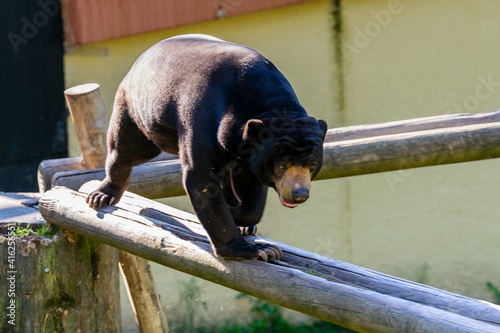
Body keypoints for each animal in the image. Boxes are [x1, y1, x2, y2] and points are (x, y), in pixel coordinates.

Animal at [87, 35, 328, 260]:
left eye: (312, 165)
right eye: (281, 165)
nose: (299, 194)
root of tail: (142, 57)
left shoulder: (247, 153)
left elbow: (251, 192)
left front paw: (241, 218)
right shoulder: (203, 119)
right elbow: (201, 179)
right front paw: (255, 250)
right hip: (139, 111)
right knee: (125, 150)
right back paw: (101, 195)